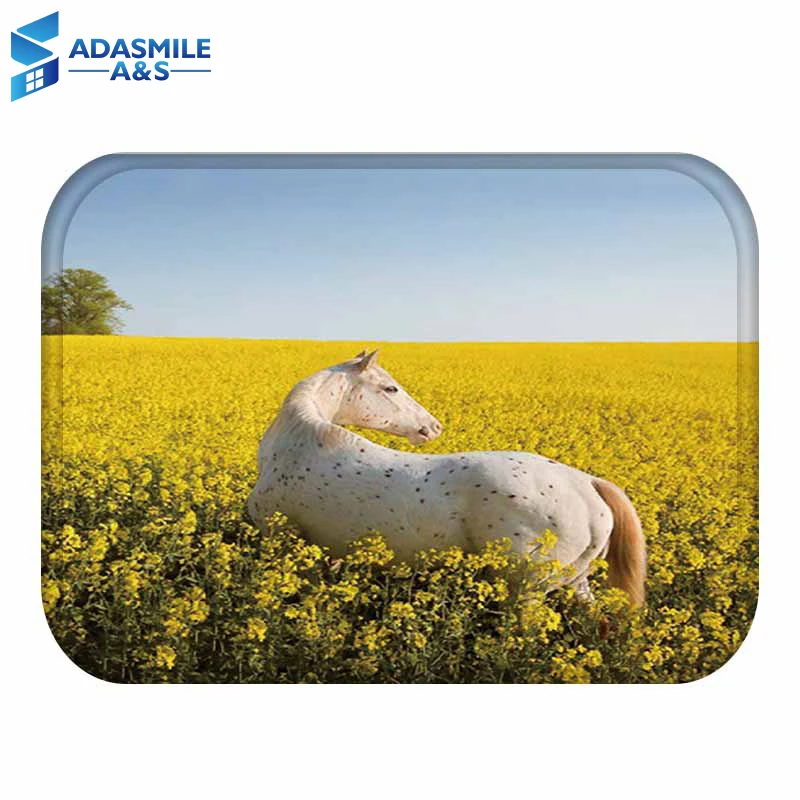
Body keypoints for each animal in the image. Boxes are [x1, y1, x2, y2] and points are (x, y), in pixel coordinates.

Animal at [247, 350, 646, 606]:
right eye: (390, 388)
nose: (433, 426)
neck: (300, 441)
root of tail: (586, 483)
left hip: (527, 591)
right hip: (577, 582)